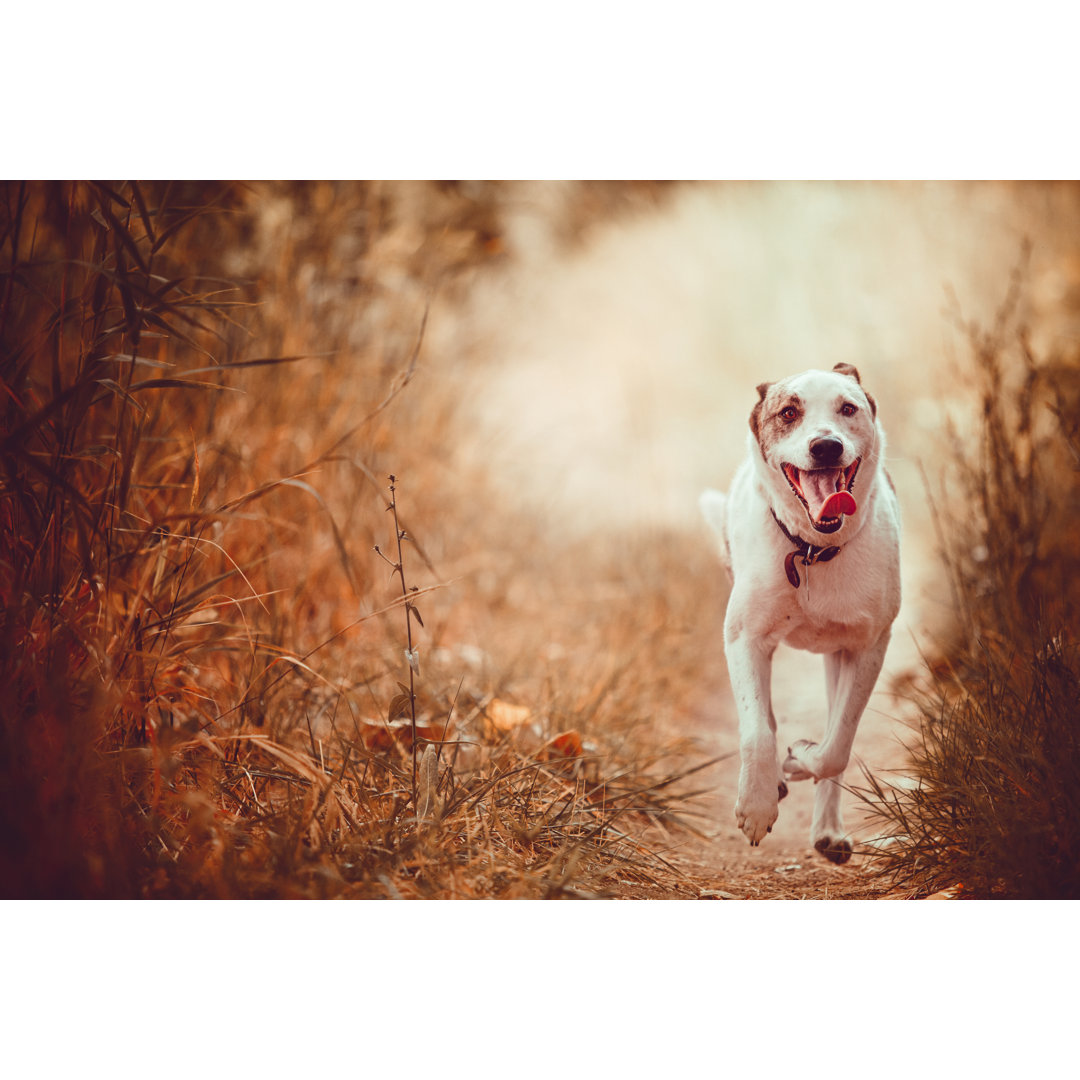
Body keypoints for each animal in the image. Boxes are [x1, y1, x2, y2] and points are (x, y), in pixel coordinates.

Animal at [695, 367, 898, 864]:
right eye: (789, 413)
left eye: (848, 408)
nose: (825, 446)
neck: (812, 550)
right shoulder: (743, 639)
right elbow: (756, 731)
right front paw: (757, 804)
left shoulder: (868, 647)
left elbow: (836, 746)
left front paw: (799, 756)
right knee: (765, 719)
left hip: (838, 657)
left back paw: (826, 829)